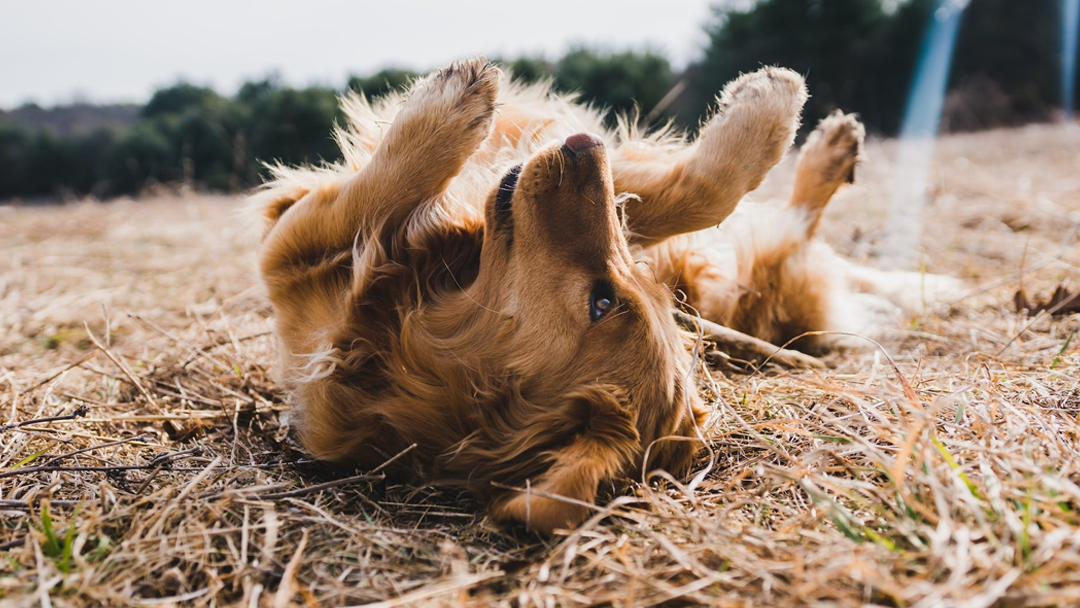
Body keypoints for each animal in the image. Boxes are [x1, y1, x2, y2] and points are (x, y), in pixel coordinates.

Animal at [248, 57, 933, 533]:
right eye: (618, 294)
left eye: (602, 302)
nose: (585, 146)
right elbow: (691, 194)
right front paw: (769, 109)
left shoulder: (291, 257)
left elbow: (378, 193)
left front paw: (446, 110)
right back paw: (832, 148)